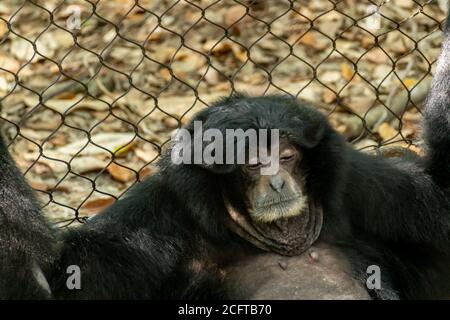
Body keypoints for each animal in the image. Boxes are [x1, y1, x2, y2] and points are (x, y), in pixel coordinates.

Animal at [0, 11, 450, 300]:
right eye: (252, 164)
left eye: (287, 157)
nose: (277, 180)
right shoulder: (151, 224)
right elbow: (51, 283)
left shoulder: (361, 184)